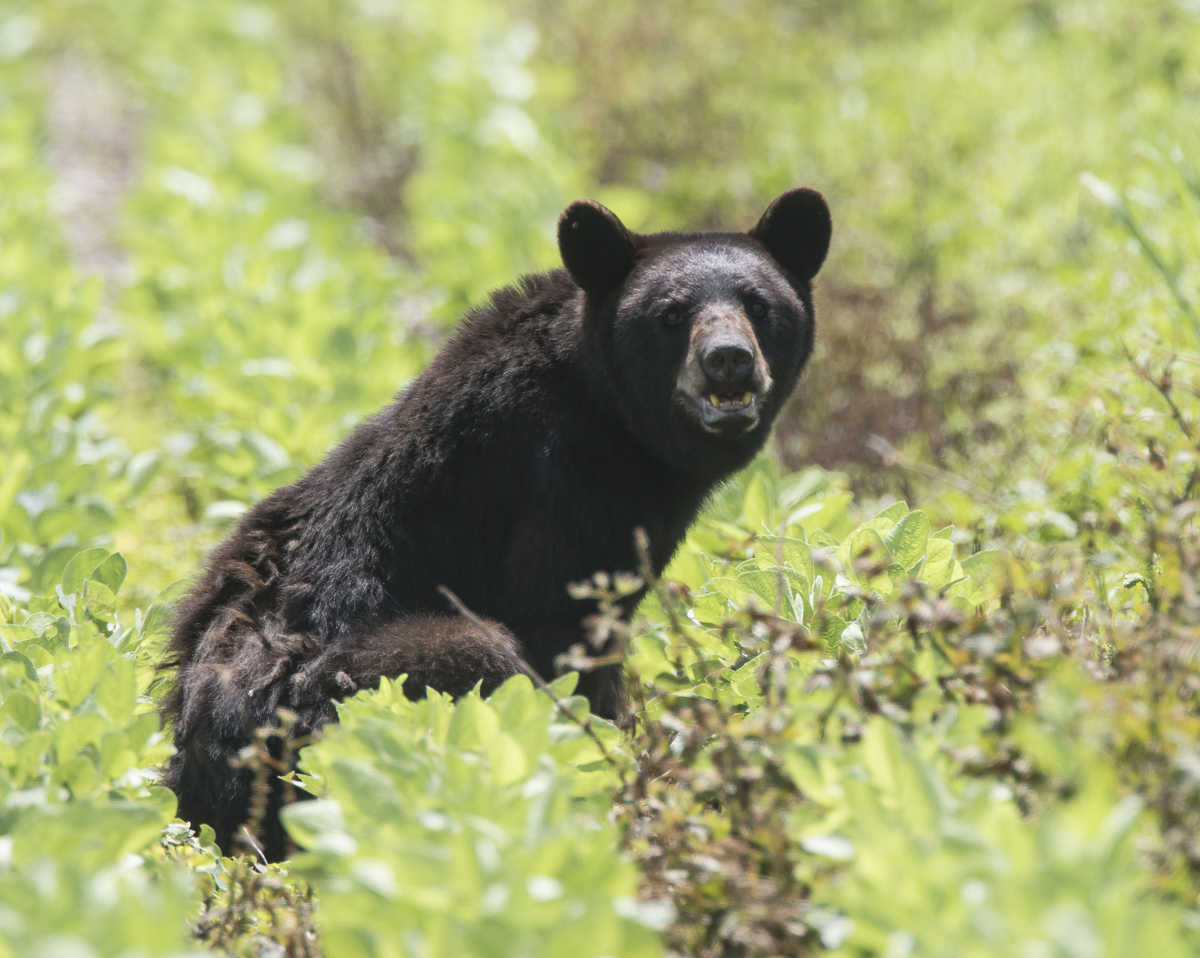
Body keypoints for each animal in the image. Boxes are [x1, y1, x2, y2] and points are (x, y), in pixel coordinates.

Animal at [161, 187, 832, 860]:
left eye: (759, 304)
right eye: (670, 313)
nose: (729, 361)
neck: (615, 420)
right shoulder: (563, 488)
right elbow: (564, 634)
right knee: (475, 652)